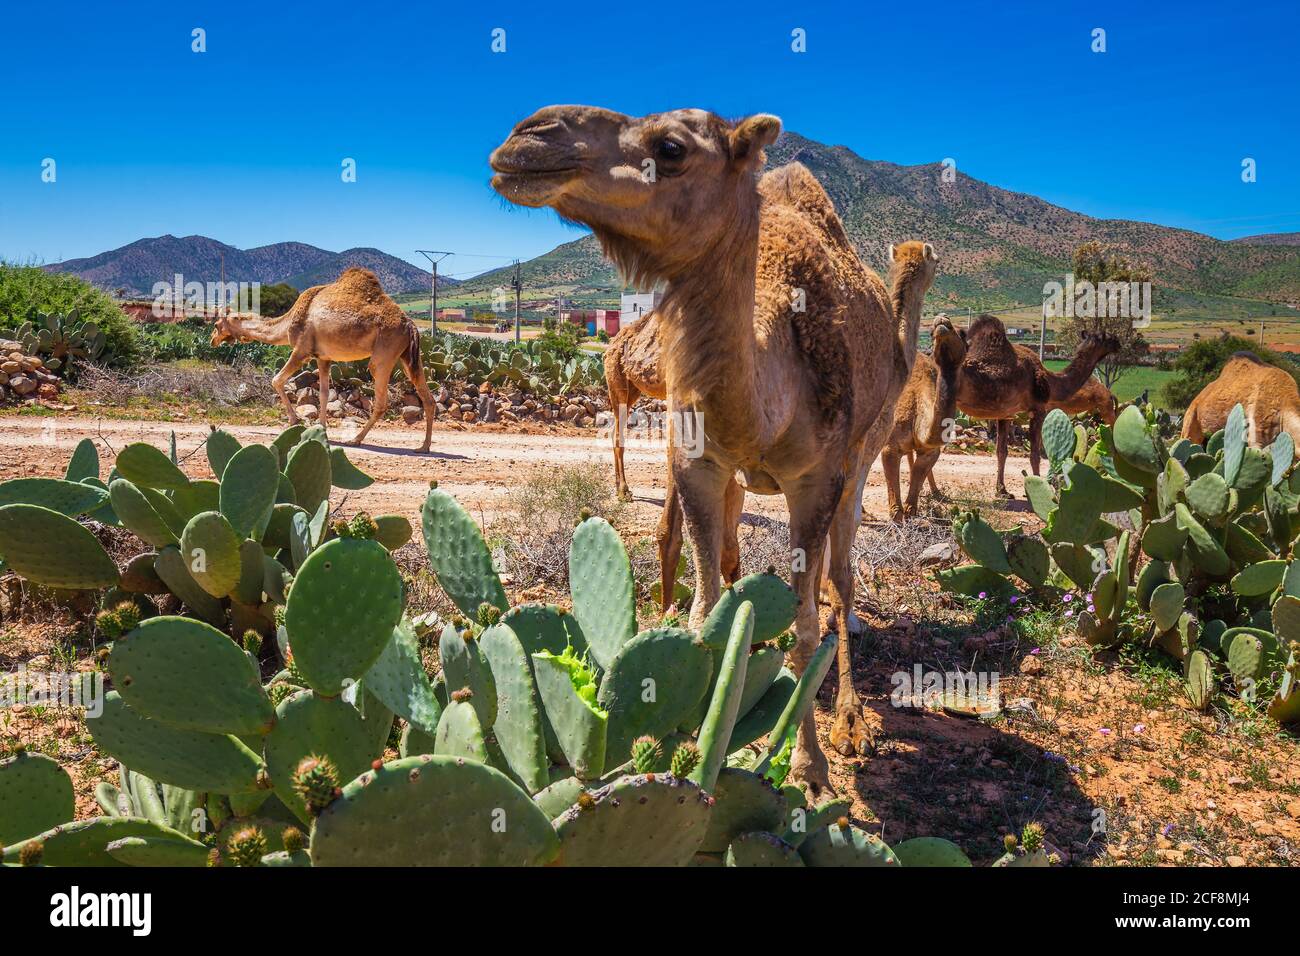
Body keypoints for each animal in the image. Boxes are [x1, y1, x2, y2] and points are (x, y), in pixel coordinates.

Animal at [211, 267, 436, 452]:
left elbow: (277, 380)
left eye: (216, 325)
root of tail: (410, 324)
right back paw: (423, 447)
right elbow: (324, 393)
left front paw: (295, 421)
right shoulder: (323, 357)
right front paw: (321, 428)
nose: (213, 340)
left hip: (384, 352)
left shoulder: (302, 350)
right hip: (408, 357)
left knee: (381, 399)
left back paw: (355, 439)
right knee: (426, 396)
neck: (288, 322)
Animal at [881, 316, 966, 522]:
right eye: (932, 333)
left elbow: (916, 484)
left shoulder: (930, 450)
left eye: (963, 333)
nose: (942, 320)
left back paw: (937, 493)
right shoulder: (889, 446)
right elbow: (896, 508)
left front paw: (913, 510)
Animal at [954, 315, 1119, 497]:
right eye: (1107, 336)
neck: (1051, 382)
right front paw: (1039, 489)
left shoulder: (1005, 414)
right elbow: (1035, 454)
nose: (1118, 343)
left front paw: (1002, 490)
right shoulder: (1039, 409)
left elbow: (1001, 451)